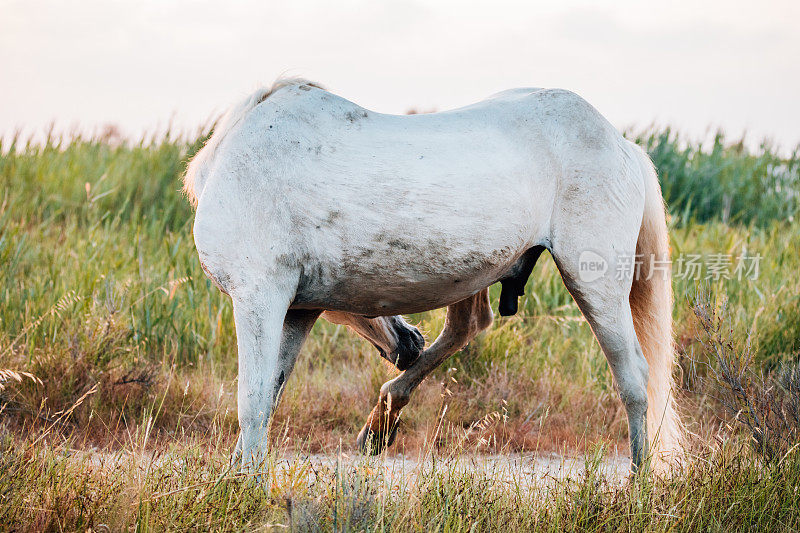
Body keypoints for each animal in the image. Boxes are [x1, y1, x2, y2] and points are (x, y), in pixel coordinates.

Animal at [186, 78, 680, 470]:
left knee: (634, 377)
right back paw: (381, 422)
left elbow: (252, 402)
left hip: (594, 282)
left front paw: (248, 488)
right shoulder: (297, 311)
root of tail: (623, 144)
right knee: (469, 326)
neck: (236, 161)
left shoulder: (259, 297)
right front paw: (237, 478)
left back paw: (638, 483)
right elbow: (269, 395)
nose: (409, 342)